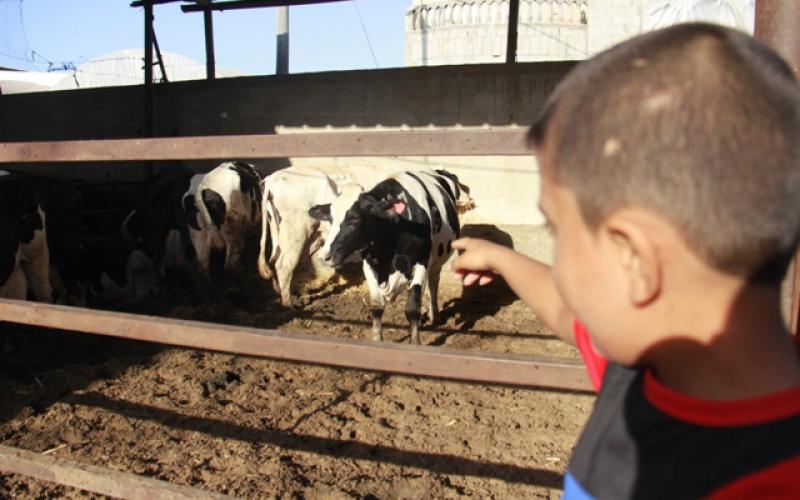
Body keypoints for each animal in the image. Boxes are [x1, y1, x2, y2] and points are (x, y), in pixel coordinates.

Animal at [308, 169, 468, 344]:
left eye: (355, 219)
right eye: (330, 219)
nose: (324, 256)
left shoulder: (421, 263)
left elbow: (412, 307)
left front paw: (415, 342)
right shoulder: (369, 264)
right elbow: (376, 306)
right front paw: (377, 339)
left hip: (436, 260)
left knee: (433, 283)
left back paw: (435, 315)